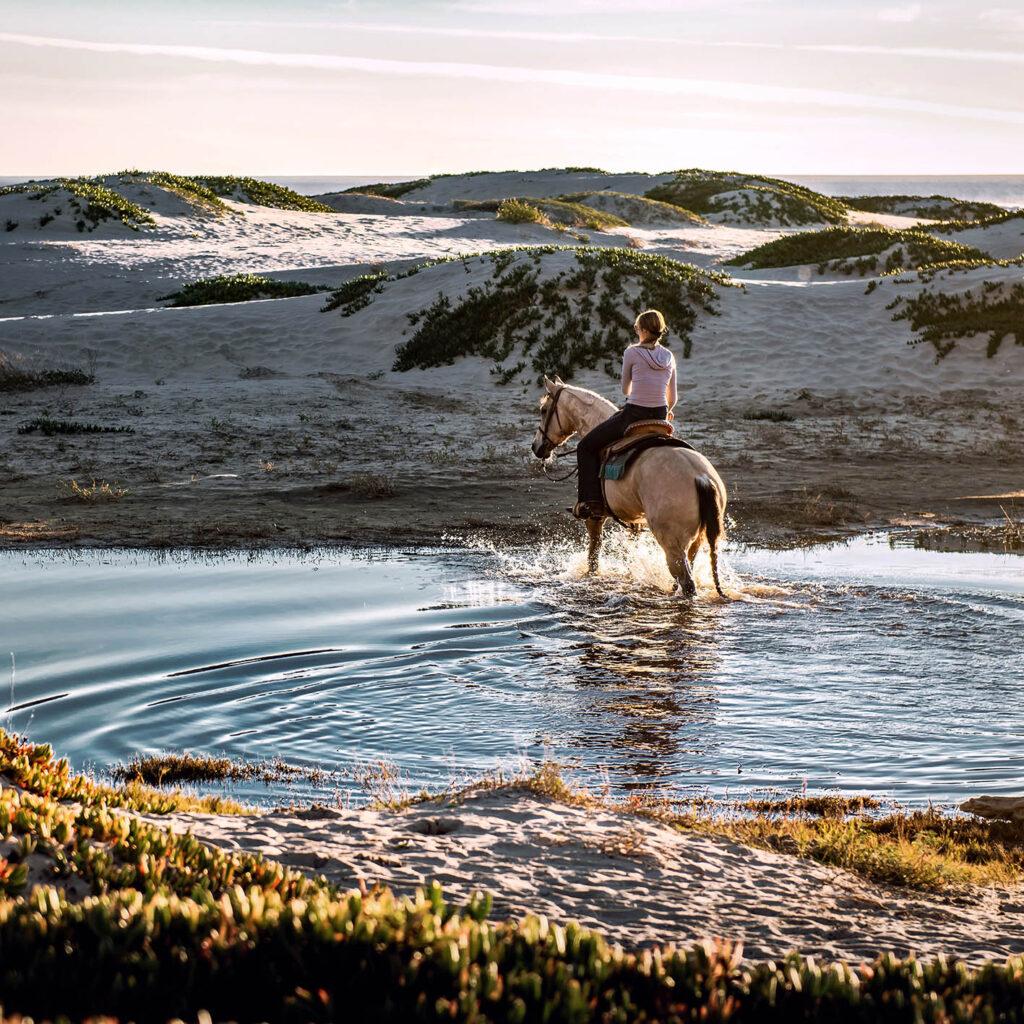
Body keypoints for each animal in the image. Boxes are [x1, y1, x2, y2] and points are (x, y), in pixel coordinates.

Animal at [528, 374, 729, 598]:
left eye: (543, 410)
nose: (536, 447)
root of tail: (701, 477)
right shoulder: (634, 521)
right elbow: (628, 553)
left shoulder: (594, 518)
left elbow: (593, 555)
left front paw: (590, 579)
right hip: (697, 541)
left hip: (672, 545)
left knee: (687, 583)